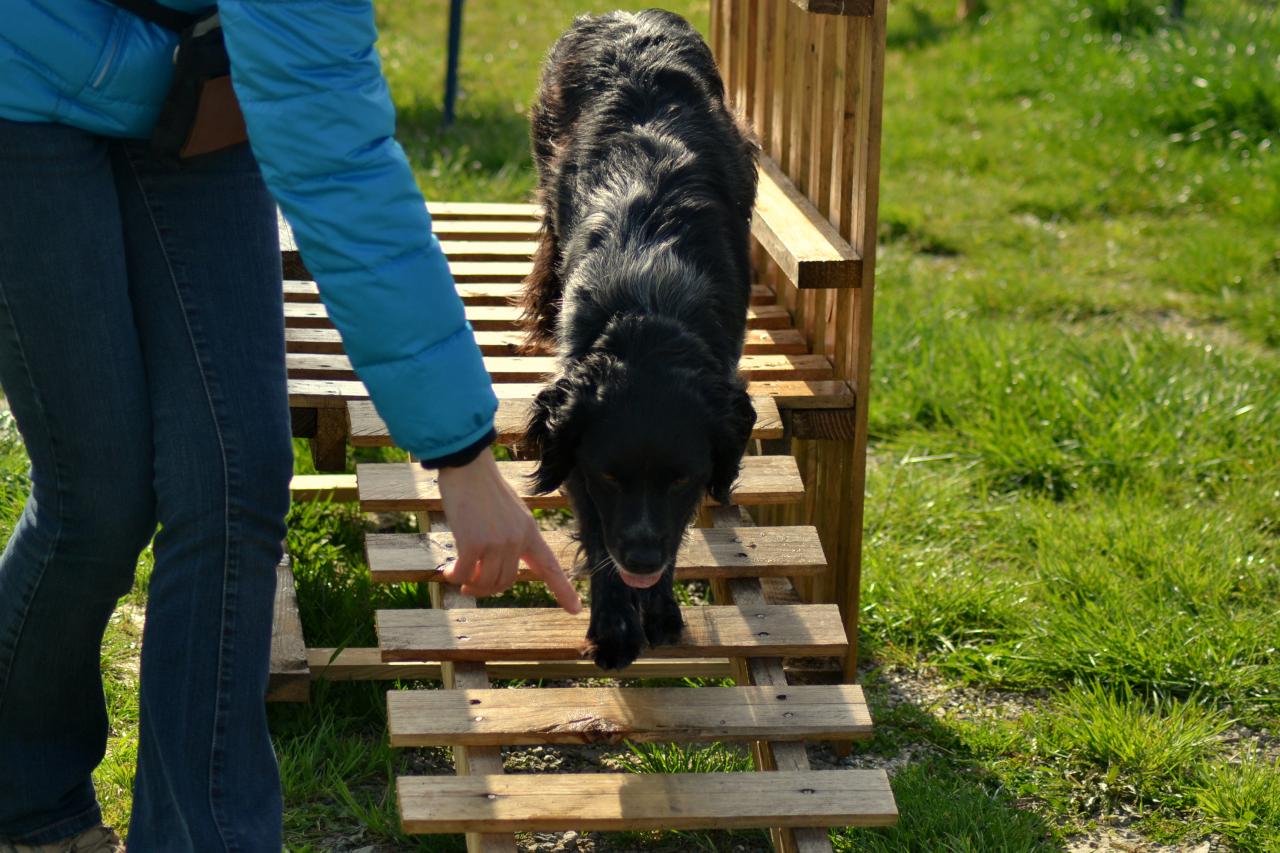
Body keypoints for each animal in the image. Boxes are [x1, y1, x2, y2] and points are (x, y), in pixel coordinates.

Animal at [522, 9, 757, 666]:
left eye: (679, 477)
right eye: (609, 476)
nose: (643, 558)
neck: (649, 301)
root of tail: (623, 14)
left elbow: (678, 525)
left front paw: (659, 607)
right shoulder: (576, 447)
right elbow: (597, 532)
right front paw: (614, 628)